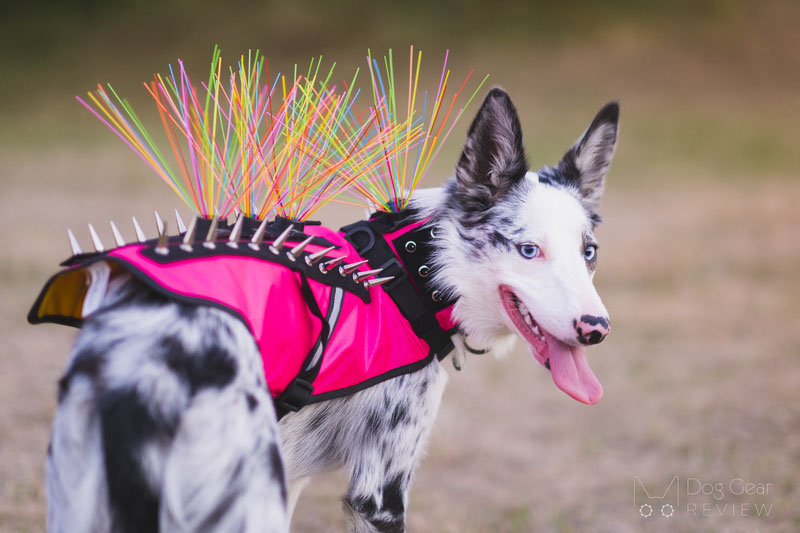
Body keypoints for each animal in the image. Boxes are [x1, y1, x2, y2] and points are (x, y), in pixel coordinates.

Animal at [42, 89, 620, 528]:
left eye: (589, 252)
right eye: (528, 250)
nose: (596, 329)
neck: (415, 270)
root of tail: (147, 366)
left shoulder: (293, 477)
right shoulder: (379, 492)